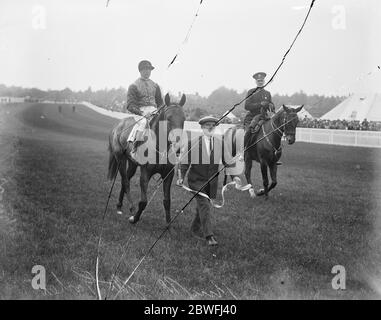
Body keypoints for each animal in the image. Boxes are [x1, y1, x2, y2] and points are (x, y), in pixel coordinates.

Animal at [107, 93, 186, 222]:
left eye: (184, 119)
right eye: (169, 118)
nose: (178, 146)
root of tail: (118, 125)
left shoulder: (168, 175)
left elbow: (167, 201)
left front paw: (168, 223)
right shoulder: (145, 173)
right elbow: (143, 201)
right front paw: (134, 219)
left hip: (132, 164)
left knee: (126, 179)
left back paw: (119, 205)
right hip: (120, 159)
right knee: (125, 181)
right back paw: (130, 207)